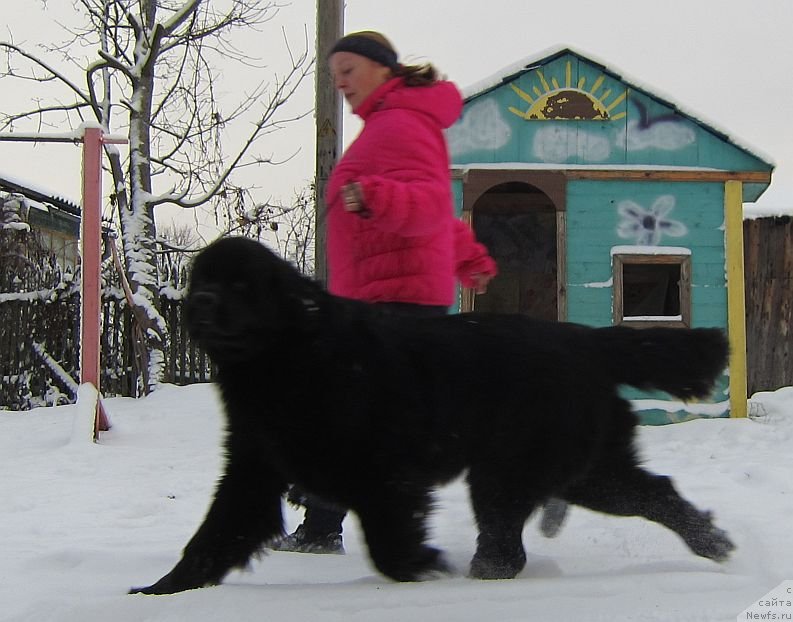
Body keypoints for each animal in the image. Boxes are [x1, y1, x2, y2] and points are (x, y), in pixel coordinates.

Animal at [130, 236, 732, 596]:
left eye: (240, 285)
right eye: (202, 279)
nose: (200, 303)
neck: (292, 354)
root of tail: (586, 340)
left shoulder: (385, 475)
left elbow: (389, 544)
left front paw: (424, 568)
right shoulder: (254, 468)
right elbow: (215, 533)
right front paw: (159, 592)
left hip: (514, 470)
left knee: (510, 543)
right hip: (583, 469)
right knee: (655, 492)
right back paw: (711, 541)